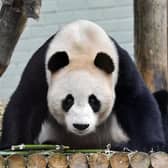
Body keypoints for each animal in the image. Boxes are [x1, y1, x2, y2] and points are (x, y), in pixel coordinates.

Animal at [0, 19, 165, 151]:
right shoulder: (41, 67)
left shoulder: (121, 67)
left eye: (93, 100)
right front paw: (13, 145)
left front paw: (151, 144)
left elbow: (136, 100)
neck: (81, 46)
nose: (81, 126)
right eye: (68, 100)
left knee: (162, 98)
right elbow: (26, 102)